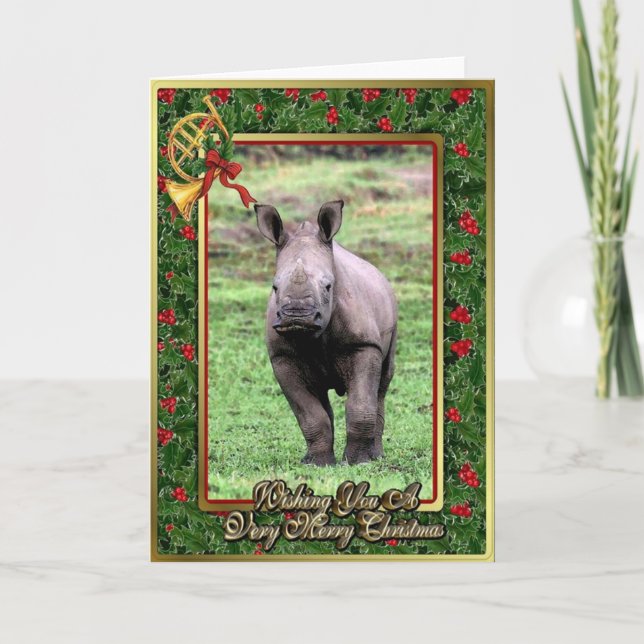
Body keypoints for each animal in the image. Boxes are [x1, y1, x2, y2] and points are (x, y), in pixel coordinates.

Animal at [255, 200, 397, 466]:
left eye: (329, 287)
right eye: (274, 287)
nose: (297, 317)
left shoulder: (363, 346)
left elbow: (361, 405)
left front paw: (357, 462)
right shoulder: (282, 357)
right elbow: (310, 415)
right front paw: (319, 464)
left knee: (382, 385)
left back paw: (376, 456)